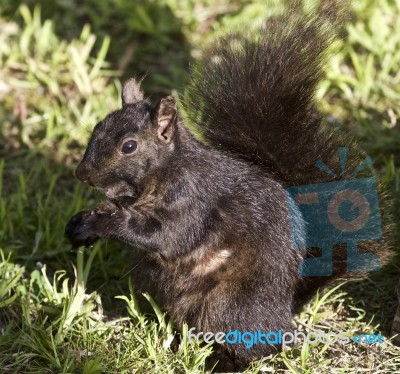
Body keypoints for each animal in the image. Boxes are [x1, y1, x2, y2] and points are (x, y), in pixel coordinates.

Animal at [65, 8, 388, 372]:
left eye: (129, 146)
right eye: (97, 127)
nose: (81, 173)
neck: (161, 175)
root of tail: (284, 308)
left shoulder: (192, 203)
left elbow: (165, 235)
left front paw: (103, 222)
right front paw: (82, 223)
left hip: (229, 303)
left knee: (260, 346)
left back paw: (225, 362)